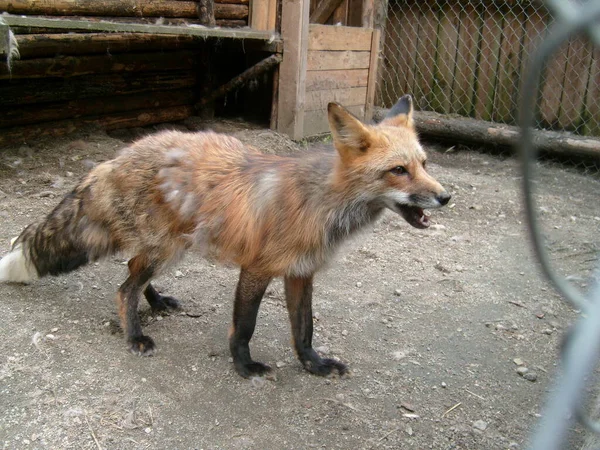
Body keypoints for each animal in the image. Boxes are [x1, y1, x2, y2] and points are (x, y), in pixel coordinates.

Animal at [0, 96, 448, 380]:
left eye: (425, 164)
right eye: (398, 171)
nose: (446, 197)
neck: (320, 203)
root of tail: (118, 155)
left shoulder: (300, 273)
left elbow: (304, 330)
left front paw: (314, 365)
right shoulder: (257, 268)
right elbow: (244, 327)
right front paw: (244, 367)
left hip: (168, 248)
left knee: (132, 272)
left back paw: (156, 303)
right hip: (165, 248)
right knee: (124, 287)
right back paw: (135, 335)